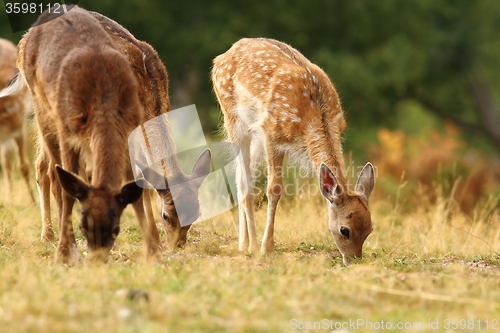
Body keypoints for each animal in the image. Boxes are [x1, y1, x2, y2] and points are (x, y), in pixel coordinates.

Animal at [212, 37, 376, 264]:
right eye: (345, 230)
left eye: (370, 229)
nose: (354, 260)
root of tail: (223, 56)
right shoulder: (272, 134)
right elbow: (274, 189)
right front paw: (266, 248)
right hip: (233, 116)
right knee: (245, 182)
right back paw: (251, 245)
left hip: (254, 133)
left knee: (241, 176)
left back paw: (242, 244)